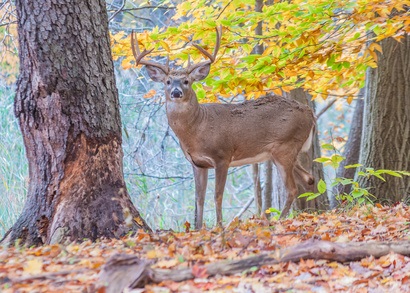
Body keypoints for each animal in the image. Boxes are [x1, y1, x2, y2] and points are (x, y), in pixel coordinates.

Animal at [131, 27, 314, 228]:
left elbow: (217, 195)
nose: (176, 92)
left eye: (187, 81)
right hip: (280, 153)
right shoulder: (197, 163)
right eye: (168, 82)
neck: (197, 130)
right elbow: (199, 198)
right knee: (308, 179)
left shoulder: (222, 155)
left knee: (292, 188)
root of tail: (309, 113)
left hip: (285, 146)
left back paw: (278, 221)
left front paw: (219, 226)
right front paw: (198, 228)